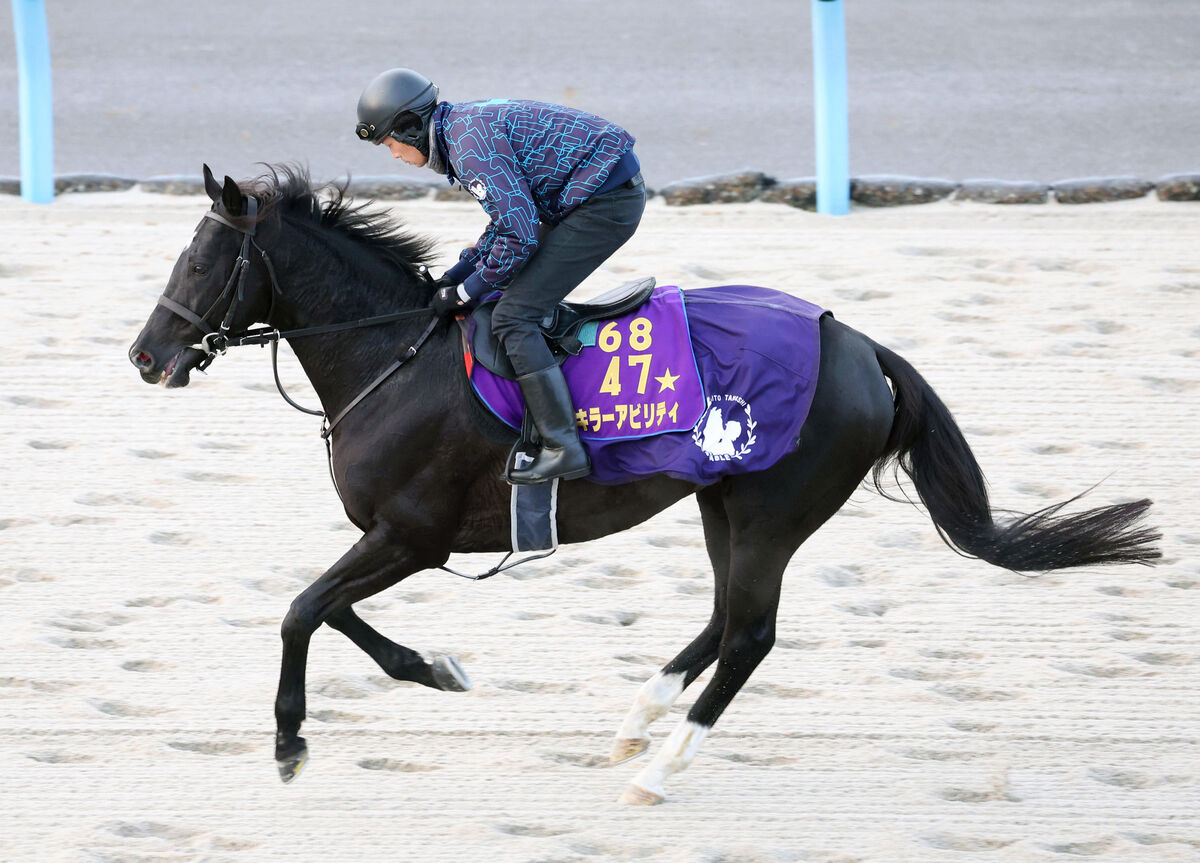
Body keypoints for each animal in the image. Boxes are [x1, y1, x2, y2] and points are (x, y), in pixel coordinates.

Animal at [129, 166, 1152, 801]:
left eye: (202, 261)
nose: (145, 355)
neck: (395, 355)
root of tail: (860, 344)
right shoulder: (402, 537)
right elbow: (332, 611)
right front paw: (436, 667)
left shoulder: (412, 534)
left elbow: (303, 609)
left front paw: (291, 741)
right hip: (722, 499)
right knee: (723, 618)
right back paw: (638, 718)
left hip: (775, 509)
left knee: (749, 633)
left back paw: (658, 767)